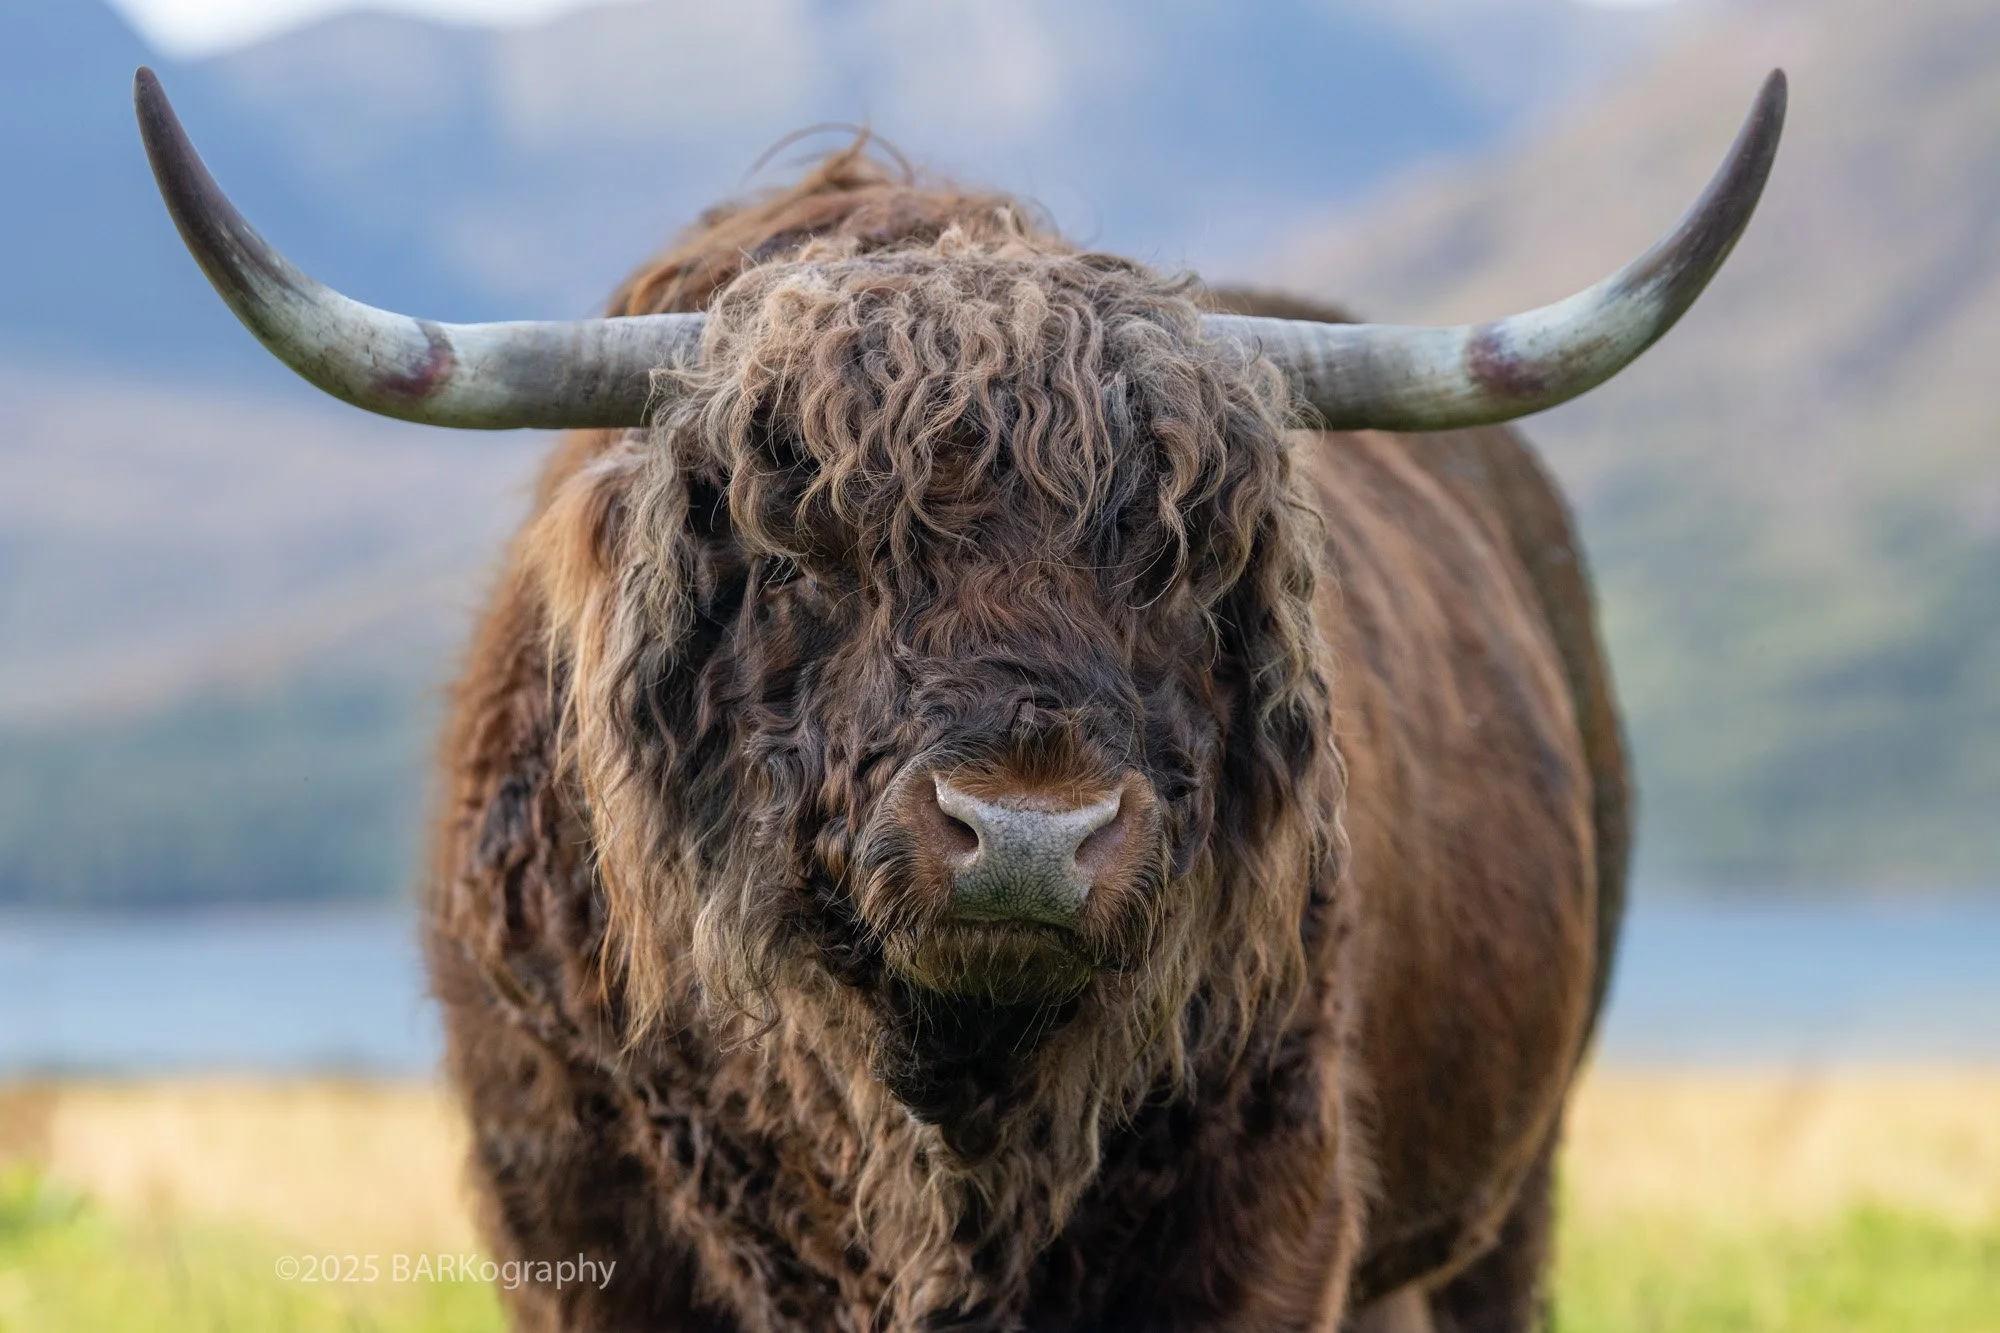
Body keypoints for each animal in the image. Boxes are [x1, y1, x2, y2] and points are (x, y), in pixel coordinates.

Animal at [135, 66, 1785, 1331]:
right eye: (801, 545)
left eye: (1185, 559)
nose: (1031, 833)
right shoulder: (577, 1225)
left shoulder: (1269, 1214)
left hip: (1509, 1189)